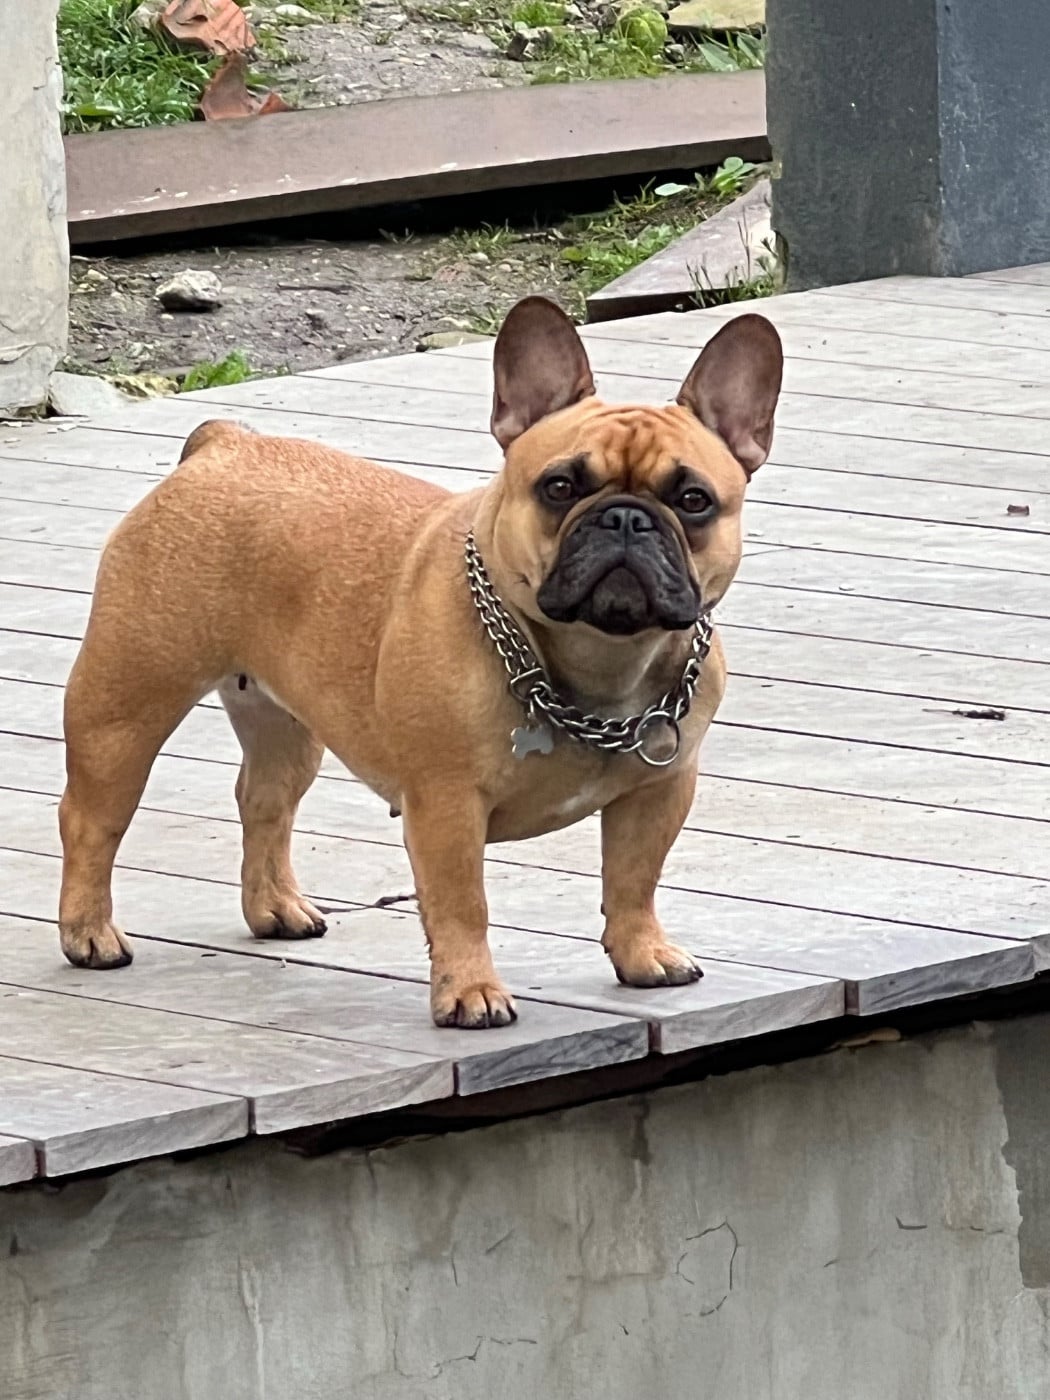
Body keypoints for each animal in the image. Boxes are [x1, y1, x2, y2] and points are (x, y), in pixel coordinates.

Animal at [57, 296, 783, 1028]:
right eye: (558, 487)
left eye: (693, 500)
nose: (626, 519)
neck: (598, 659)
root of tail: (224, 444)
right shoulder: (446, 804)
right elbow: (463, 903)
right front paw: (471, 992)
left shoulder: (660, 790)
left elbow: (634, 878)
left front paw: (643, 954)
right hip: (125, 709)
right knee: (92, 819)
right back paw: (90, 934)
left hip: (286, 723)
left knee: (264, 801)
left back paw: (277, 909)